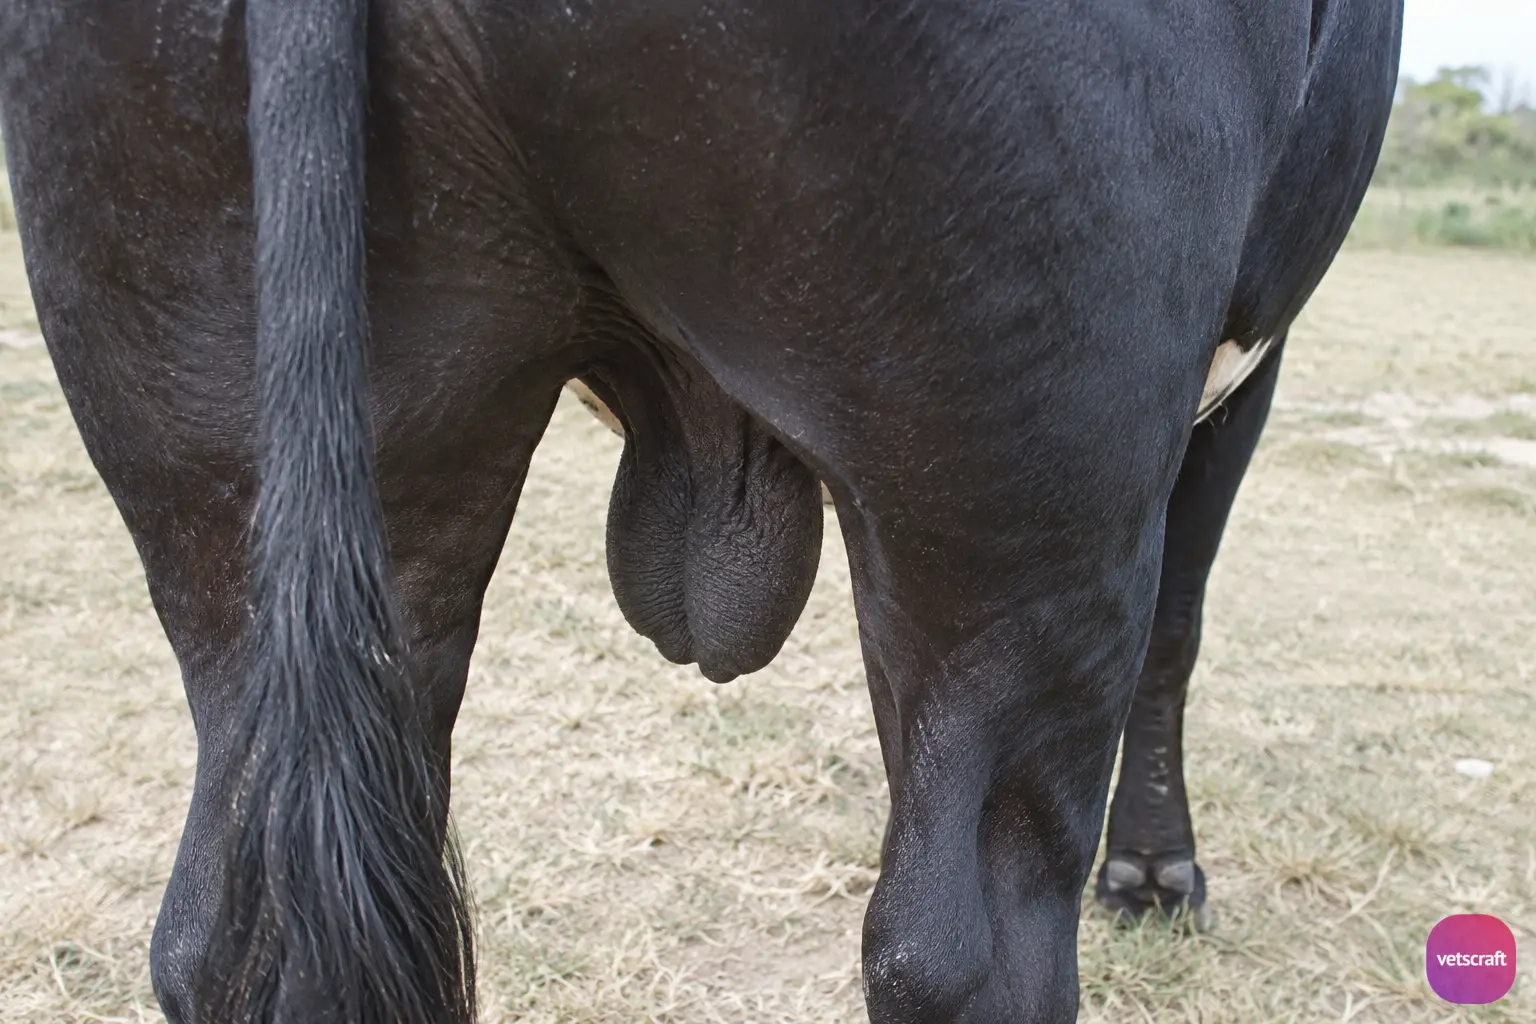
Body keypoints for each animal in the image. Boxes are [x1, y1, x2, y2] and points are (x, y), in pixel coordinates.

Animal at [0, 1, 1402, 1021]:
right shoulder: (1240, 363)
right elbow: (1183, 624)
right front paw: (1157, 873)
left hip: (257, 473)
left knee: (222, 933)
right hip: (1033, 487)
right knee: (964, 944)